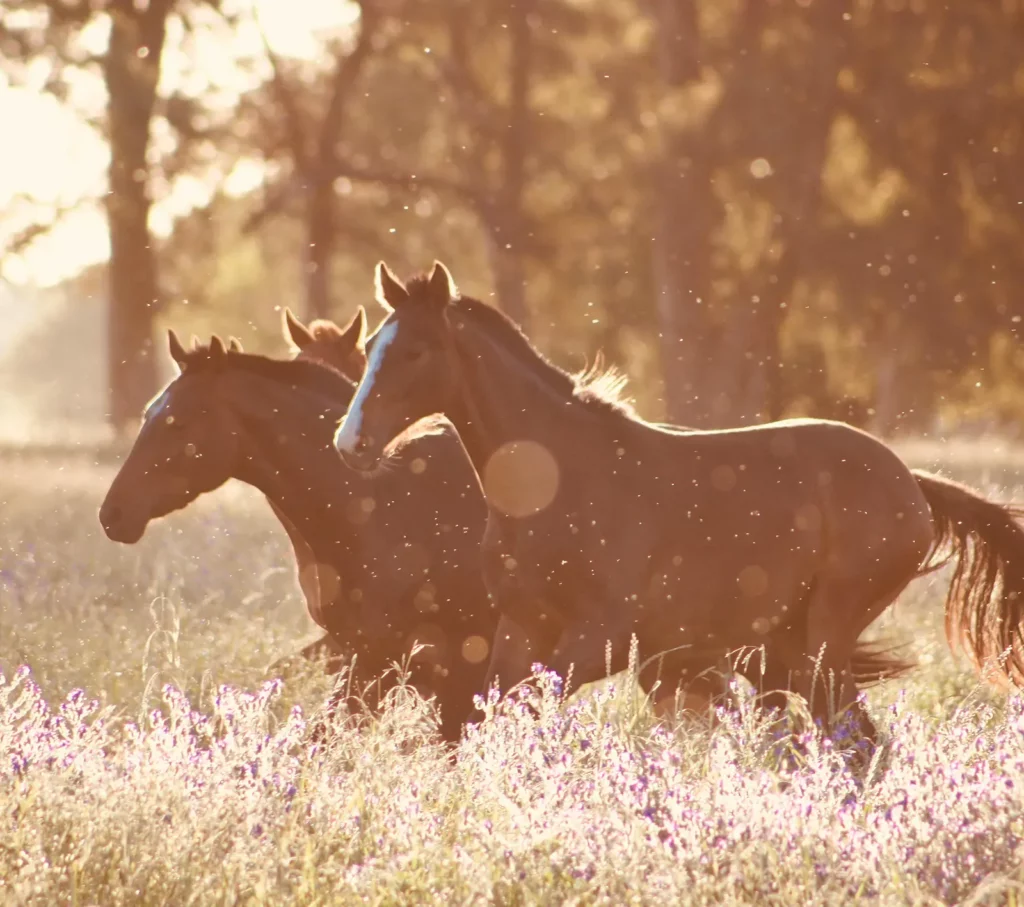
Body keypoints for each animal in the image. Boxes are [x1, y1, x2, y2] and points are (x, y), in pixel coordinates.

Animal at [332, 259, 1024, 742]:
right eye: (369, 349)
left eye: (416, 350)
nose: (349, 443)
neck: (554, 486)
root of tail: (911, 482)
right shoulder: (521, 627)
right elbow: (488, 715)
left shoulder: (603, 640)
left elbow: (527, 710)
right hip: (781, 650)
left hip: (824, 638)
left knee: (856, 742)